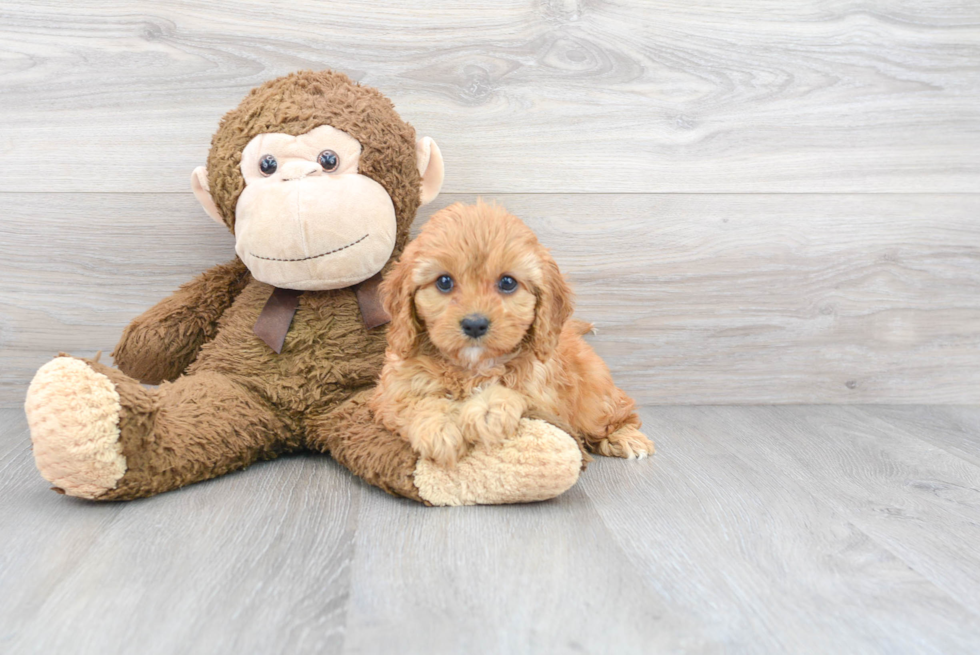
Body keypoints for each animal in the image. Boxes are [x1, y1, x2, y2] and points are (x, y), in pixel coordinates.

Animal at [372, 200, 656, 466]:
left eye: (507, 282)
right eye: (444, 282)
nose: (474, 324)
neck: (473, 367)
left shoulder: (544, 394)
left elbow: (515, 392)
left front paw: (488, 410)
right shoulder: (391, 391)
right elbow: (415, 401)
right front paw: (441, 427)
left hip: (594, 397)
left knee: (617, 412)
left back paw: (625, 437)